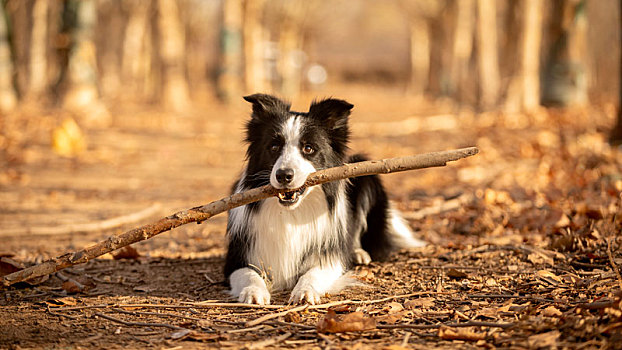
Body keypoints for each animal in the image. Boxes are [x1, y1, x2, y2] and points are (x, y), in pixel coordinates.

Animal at [224, 93, 424, 304]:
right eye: (274, 146)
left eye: (308, 148)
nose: (283, 175)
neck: (292, 213)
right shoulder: (235, 259)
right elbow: (248, 274)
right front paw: (253, 291)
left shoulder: (330, 259)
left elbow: (313, 273)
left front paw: (305, 291)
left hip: (367, 175)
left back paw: (358, 253)